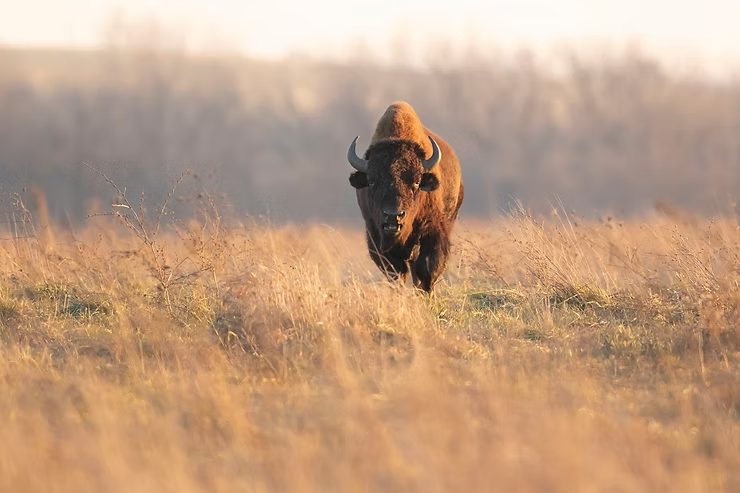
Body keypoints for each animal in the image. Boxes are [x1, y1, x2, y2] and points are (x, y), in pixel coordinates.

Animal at [347, 101, 464, 292]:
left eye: (416, 182)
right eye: (371, 181)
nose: (393, 216)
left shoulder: (433, 235)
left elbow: (427, 271)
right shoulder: (377, 239)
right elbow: (397, 273)